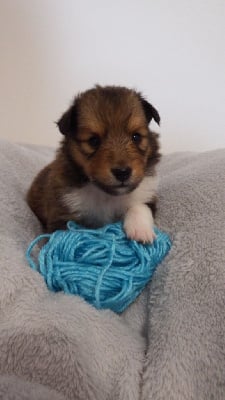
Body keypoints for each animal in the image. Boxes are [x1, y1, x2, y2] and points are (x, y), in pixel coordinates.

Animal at [26, 85, 160, 242]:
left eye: (136, 137)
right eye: (93, 141)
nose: (122, 172)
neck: (107, 195)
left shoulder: (147, 196)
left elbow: (140, 206)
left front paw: (141, 232)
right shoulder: (61, 212)